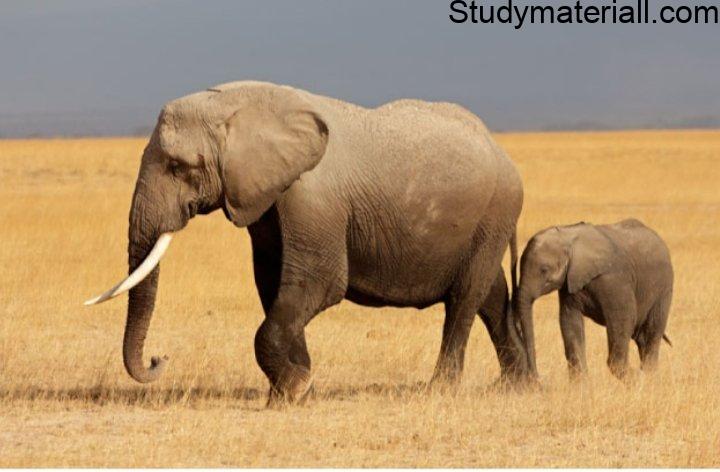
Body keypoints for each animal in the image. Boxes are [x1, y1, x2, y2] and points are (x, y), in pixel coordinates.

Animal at [86, 81, 527, 403]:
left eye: (180, 167)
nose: (159, 359)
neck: (239, 104)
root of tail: (503, 152)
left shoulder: (312, 197)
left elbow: (320, 283)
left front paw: (293, 390)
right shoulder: (264, 198)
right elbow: (273, 285)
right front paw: (295, 384)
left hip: (495, 211)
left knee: (464, 298)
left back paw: (440, 388)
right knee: (491, 295)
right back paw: (517, 384)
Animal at [514, 219, 674, 380]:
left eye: (544, 270)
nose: (537, 377)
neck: (568, 236)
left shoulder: (614, 279)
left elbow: (624, 317)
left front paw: (634, 378)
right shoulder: (569, 283)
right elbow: (569, 321)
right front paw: (580, 384)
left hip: (664, 288)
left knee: (650, 333)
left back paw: (649, 377)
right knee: (642, 337)